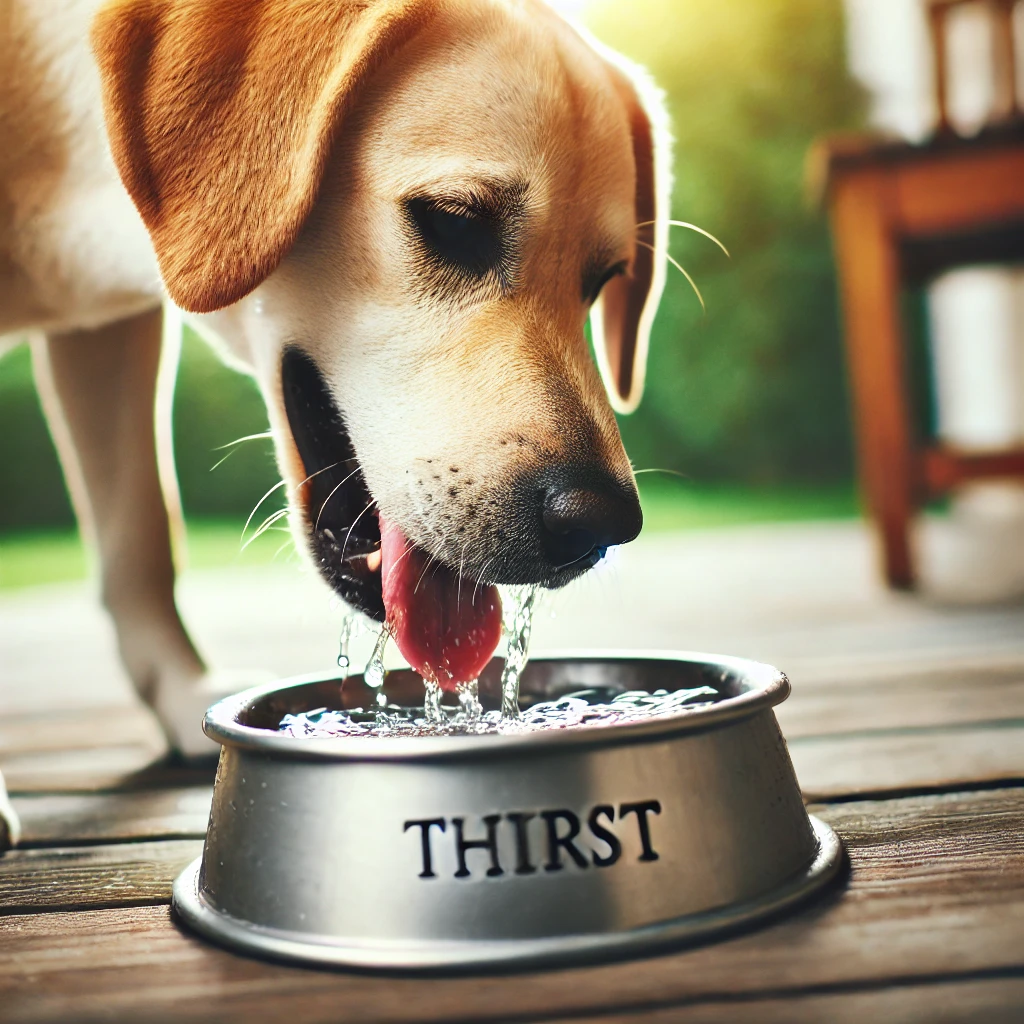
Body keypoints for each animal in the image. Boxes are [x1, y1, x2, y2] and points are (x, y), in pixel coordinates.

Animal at [0, 0, 671, 851]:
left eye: (602, 280)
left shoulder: (108, 338)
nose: (601, 523)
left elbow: (140, 540)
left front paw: (183, 694)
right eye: (454, 221)